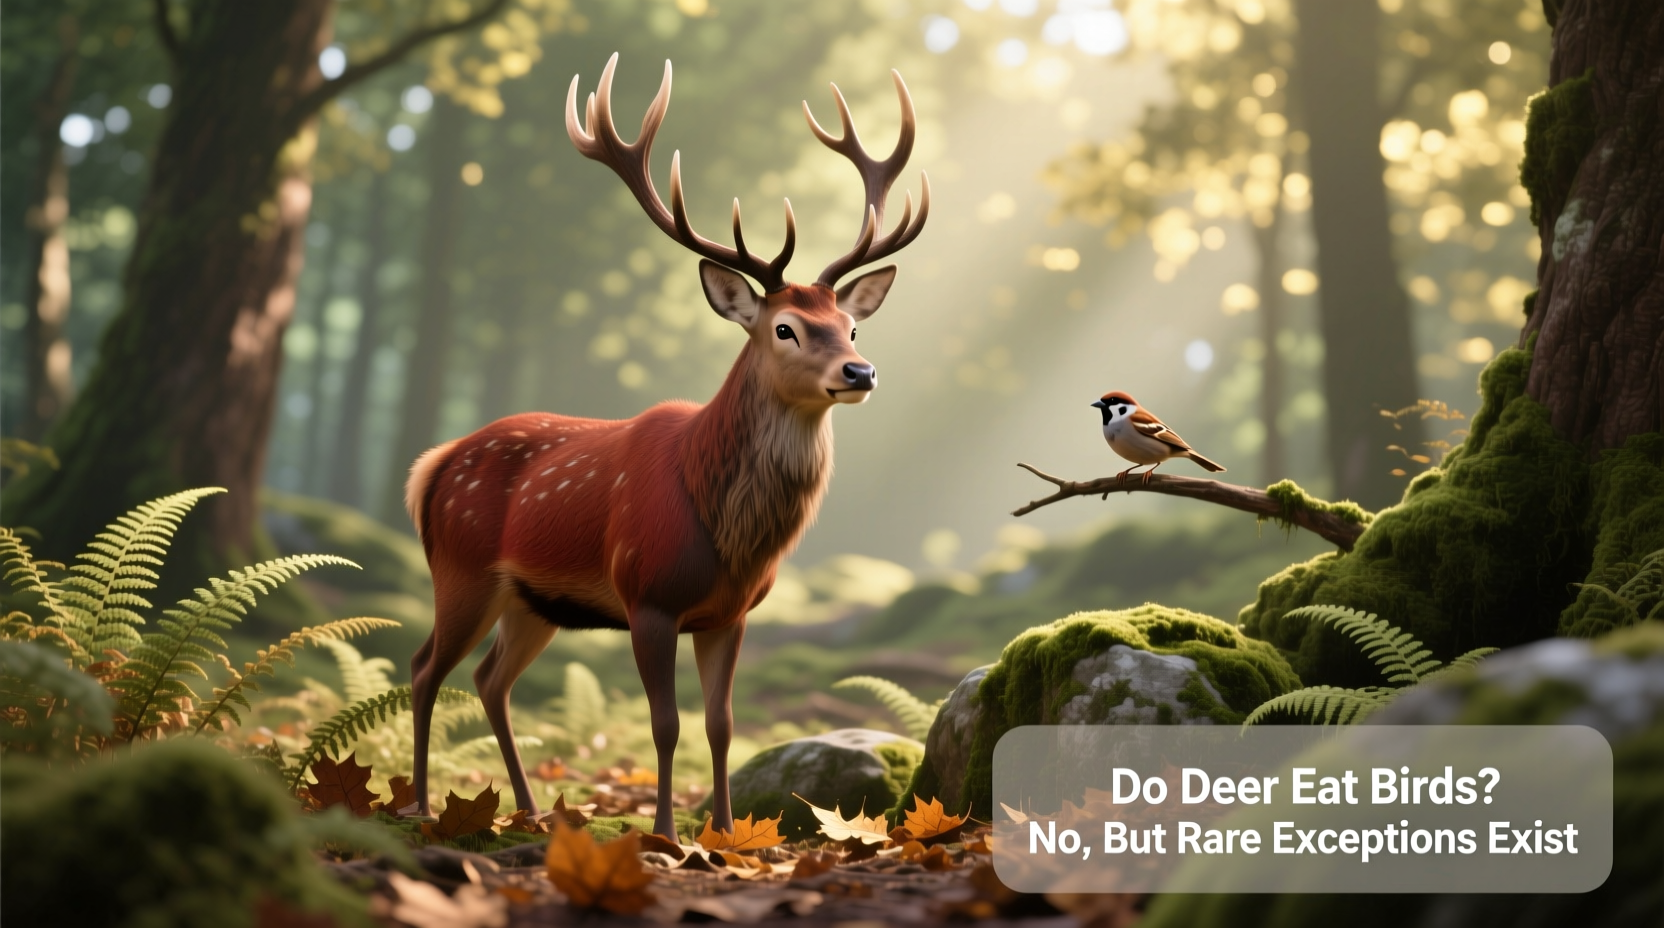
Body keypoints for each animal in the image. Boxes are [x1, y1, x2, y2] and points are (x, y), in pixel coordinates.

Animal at [403, 53, 929, 841]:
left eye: (852, 327)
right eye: (784, 329)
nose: (859, 373)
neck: (727, 532)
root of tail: (431, 468)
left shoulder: (732, 613)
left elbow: (721, 724)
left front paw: (728, 835)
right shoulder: (646, 595)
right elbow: (666, 723)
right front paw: (667, 837)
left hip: (532, 600)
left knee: (489, 680)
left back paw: (530, 812)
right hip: (460, 568)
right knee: (423, 668)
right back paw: (419, 805)